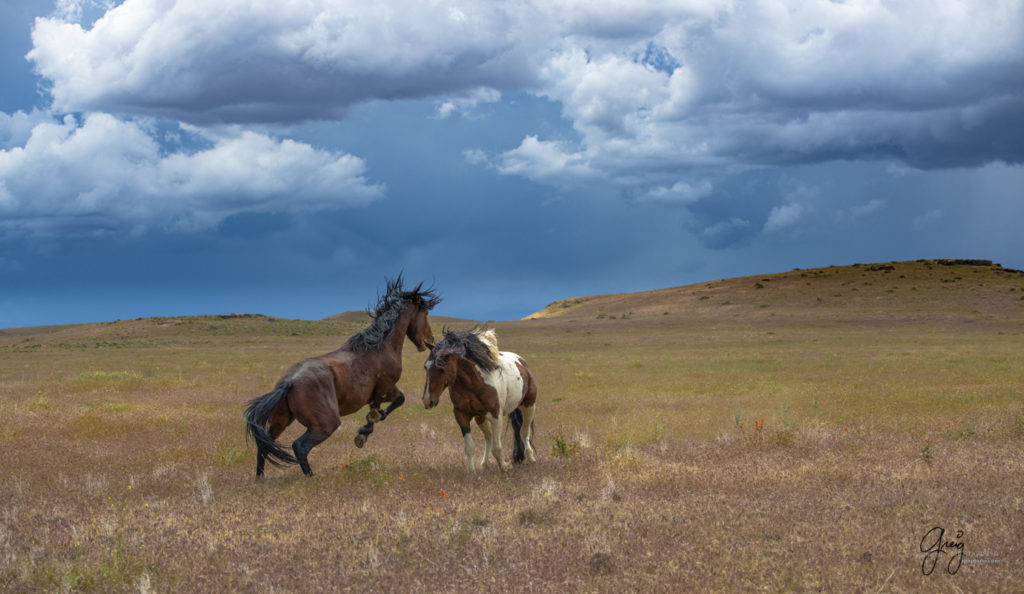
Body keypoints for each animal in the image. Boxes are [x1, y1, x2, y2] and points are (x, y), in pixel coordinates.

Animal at [248, 276, 444, 475]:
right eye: (424, 313)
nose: (430, 340)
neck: (380, 347)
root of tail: (289, 382)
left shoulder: (375, 395)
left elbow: (375, 411)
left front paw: (364, 432)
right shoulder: (386, 389)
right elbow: (399, 400)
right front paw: (365, 429)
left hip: (280, 421)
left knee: (265, 445)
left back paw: (260, 478)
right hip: (325, 424)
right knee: (299, 446)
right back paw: (311, 477)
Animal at [421, 327, 540, 471]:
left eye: (441, 368)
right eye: (425, 366)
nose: (427, 400)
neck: (474, 383)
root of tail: (522, 362)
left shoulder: (496, 415)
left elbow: (497, 447)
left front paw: (504, 467)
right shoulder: (461, 415)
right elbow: (469, 447)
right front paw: (472, 471)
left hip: (529, 406)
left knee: (523, 432)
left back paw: (530, 458)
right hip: (481, 417)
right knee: (489, 437)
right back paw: (485, 464)